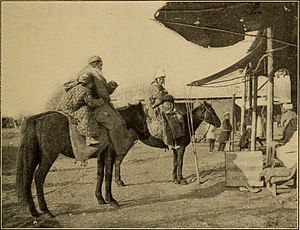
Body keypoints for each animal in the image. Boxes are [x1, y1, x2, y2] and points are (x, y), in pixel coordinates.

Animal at [15, 102, 150, 217]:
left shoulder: (101, 155)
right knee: (38, 178)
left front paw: (100, 198)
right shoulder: (109, 154)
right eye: (142, 116)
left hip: (33, 158)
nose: (147, 134)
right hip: (48, 157)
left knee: (27, 180)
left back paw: (34, 211)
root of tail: (38, 119)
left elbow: (100, 174)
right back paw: (45, 210)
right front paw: (111, 200)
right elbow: (108, 175)